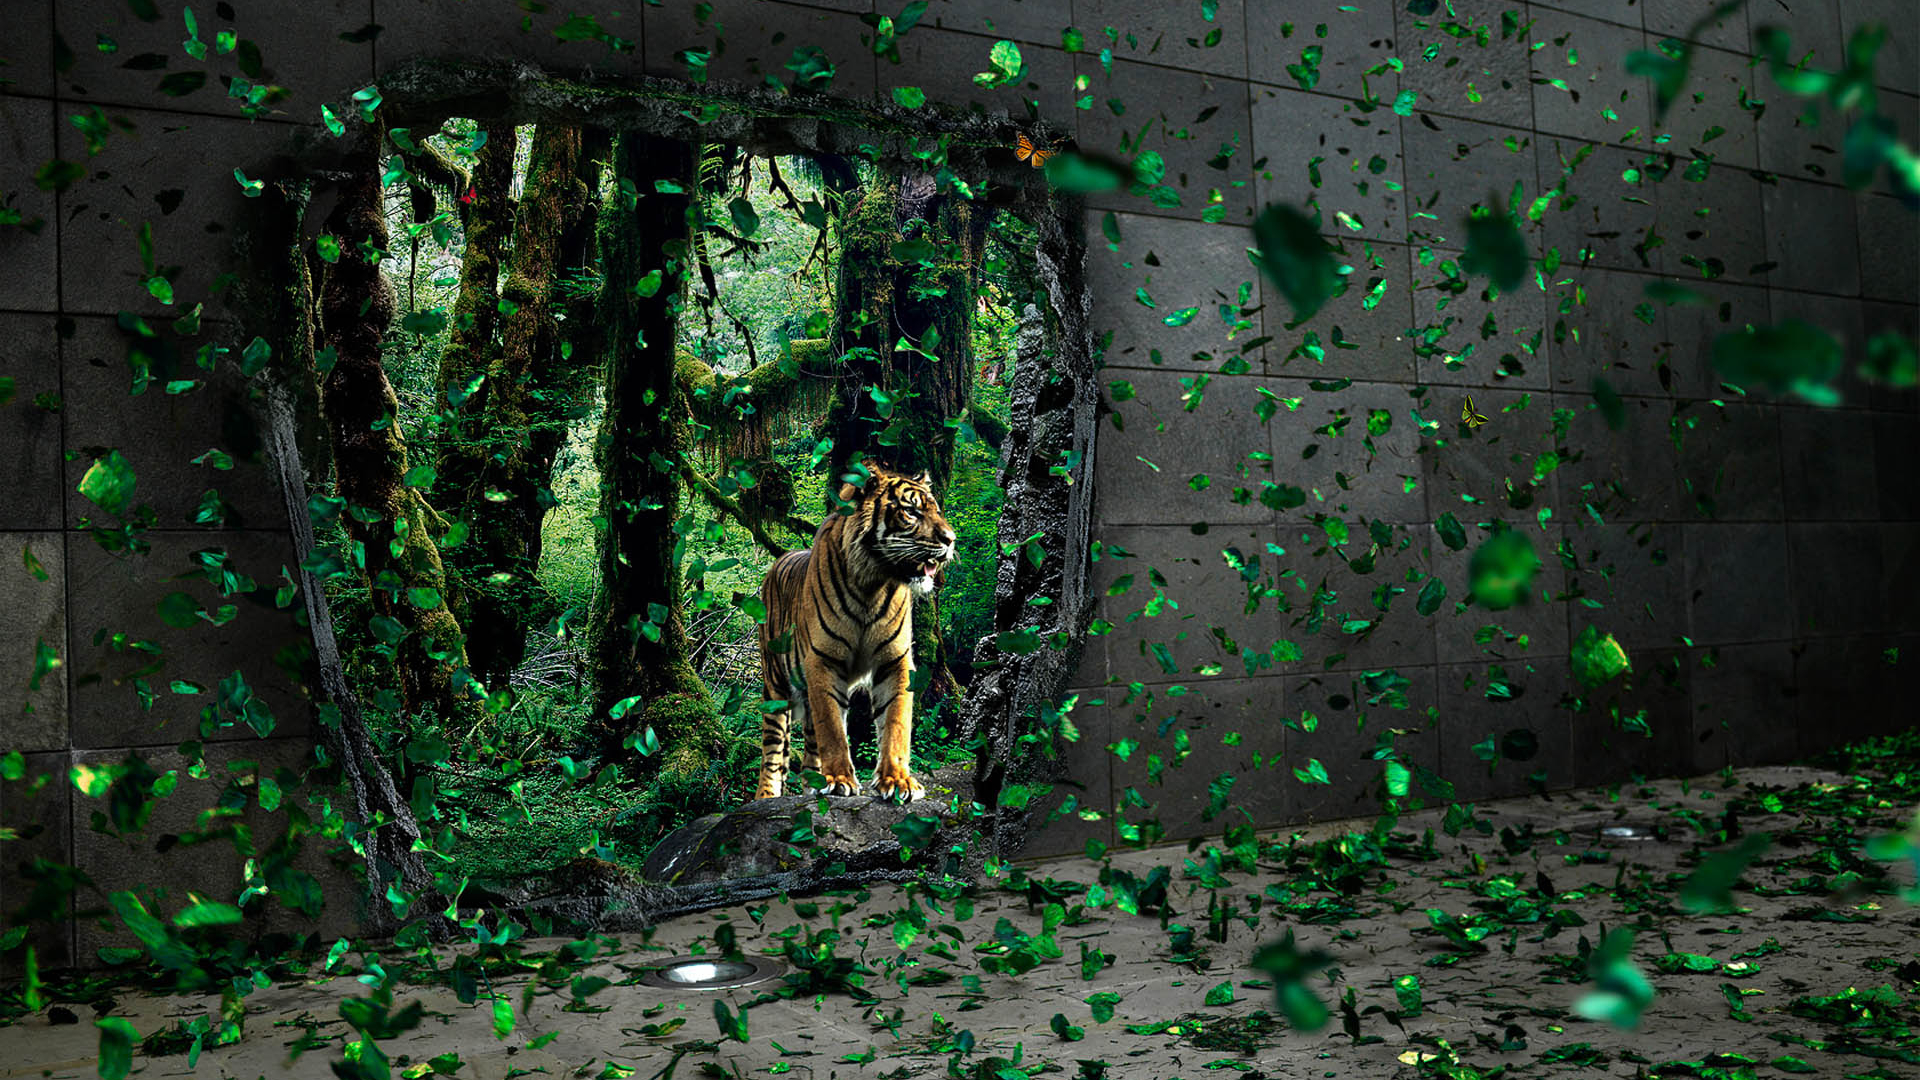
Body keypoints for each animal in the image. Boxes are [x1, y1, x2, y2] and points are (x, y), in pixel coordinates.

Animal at [752, 463, 956, 799]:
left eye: (936, 510)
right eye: (911, 511)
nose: (951, 540)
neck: (872, 583)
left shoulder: (895, 661)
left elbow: (896, 721)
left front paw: (897, 780)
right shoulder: (822, 660)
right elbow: (833, 728)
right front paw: (839, 780)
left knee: (809, 750)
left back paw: (812, 785)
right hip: (775, 686)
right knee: (772, 753)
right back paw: (767, 796)